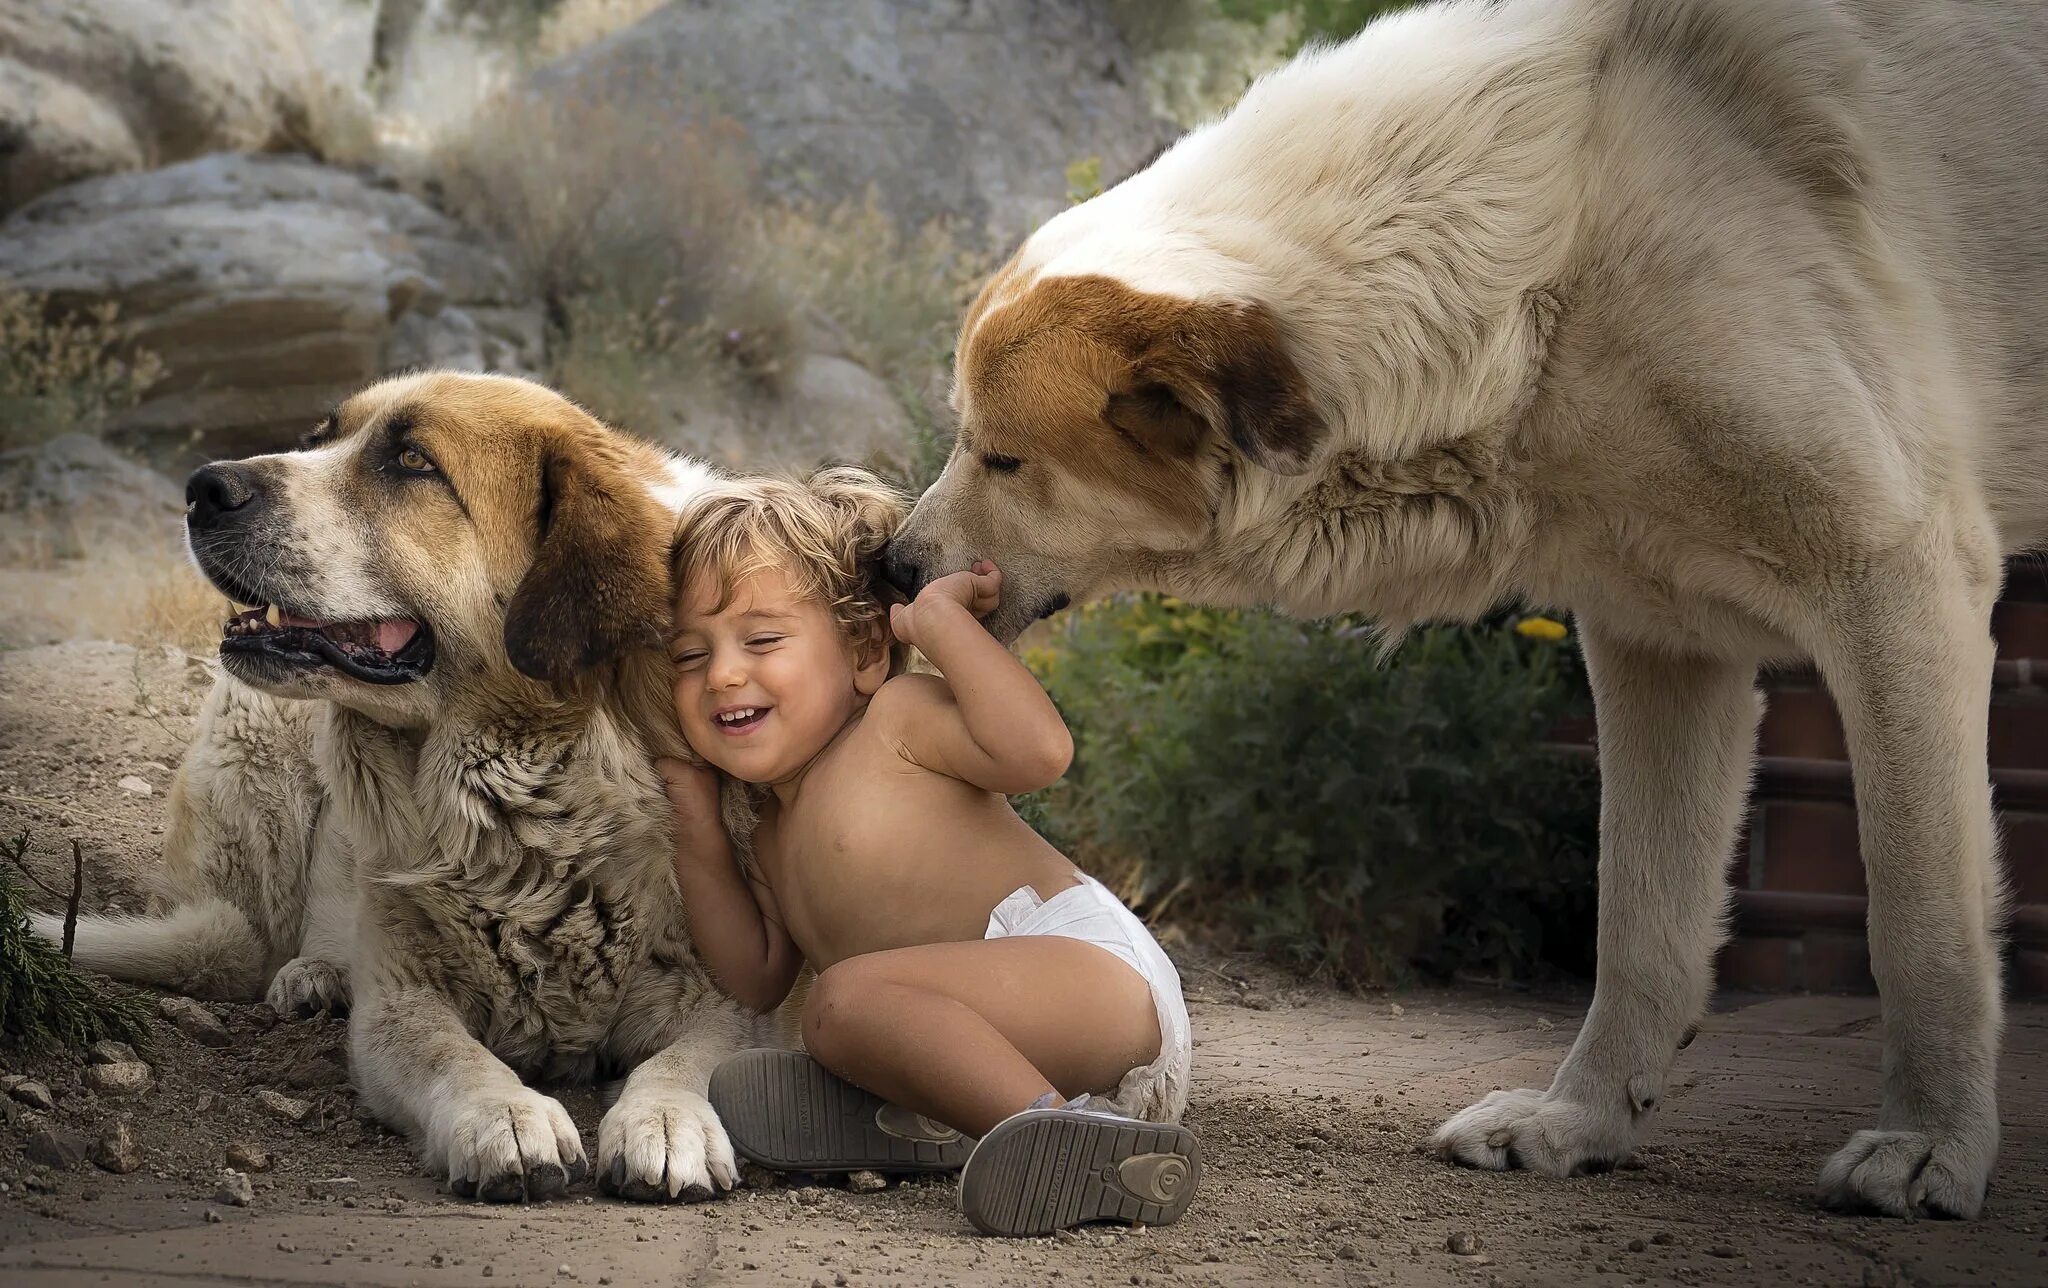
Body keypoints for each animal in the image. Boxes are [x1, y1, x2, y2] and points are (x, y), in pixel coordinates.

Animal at [888, 0, 2048, 1212]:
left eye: (1002, 456)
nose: (891, 569)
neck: (1549, 255)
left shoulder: (1895, 580)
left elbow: (1920, 917)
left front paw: (1928, 1142)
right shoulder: (1657, 639)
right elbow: (1639, 917)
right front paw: (1578, 1123)